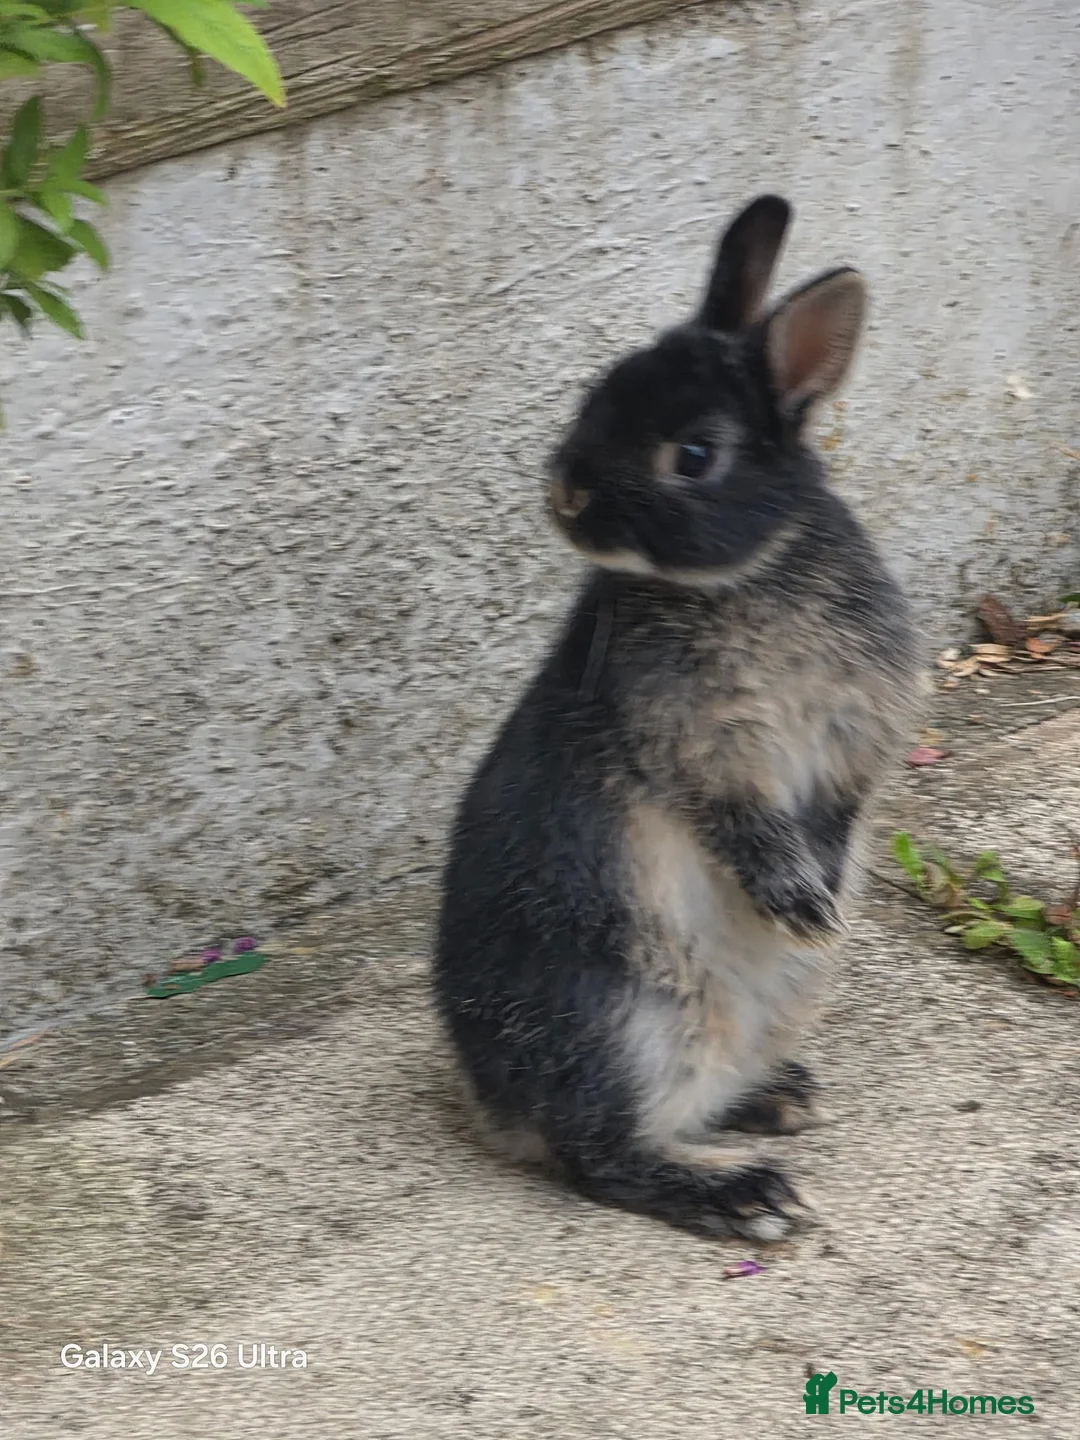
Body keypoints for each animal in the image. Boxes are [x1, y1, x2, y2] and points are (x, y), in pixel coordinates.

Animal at [432, 194, 919, 1241]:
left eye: (693, 454)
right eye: (596, 395)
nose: (565, 493)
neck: (748, 575)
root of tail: (497, 1108)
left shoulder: (855, 732)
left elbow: (835, 812)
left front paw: (817, 904)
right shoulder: (704, 748)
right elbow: (742, 819)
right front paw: (799, 902)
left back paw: (780, 1100)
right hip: (622, 1021)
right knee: (602, 1156)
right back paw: (745, 1196)